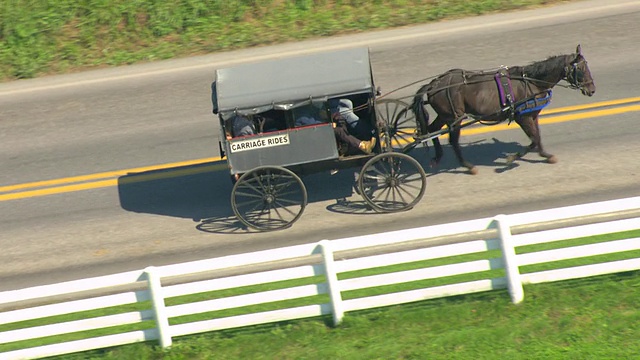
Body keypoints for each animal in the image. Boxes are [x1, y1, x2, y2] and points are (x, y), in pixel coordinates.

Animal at [412, 44, 596, 174]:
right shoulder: (522, 117)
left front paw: (545, 155)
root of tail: (434, 84)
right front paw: (512, 158)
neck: (531, 81)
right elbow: (534, 139)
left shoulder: (532, 115)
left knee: (432, 130)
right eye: (581, 69)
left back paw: (438, 156)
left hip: (445, 115)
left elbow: (537, 138)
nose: (592, 89)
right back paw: (468, 166)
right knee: (453, 141)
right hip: (454, 117)